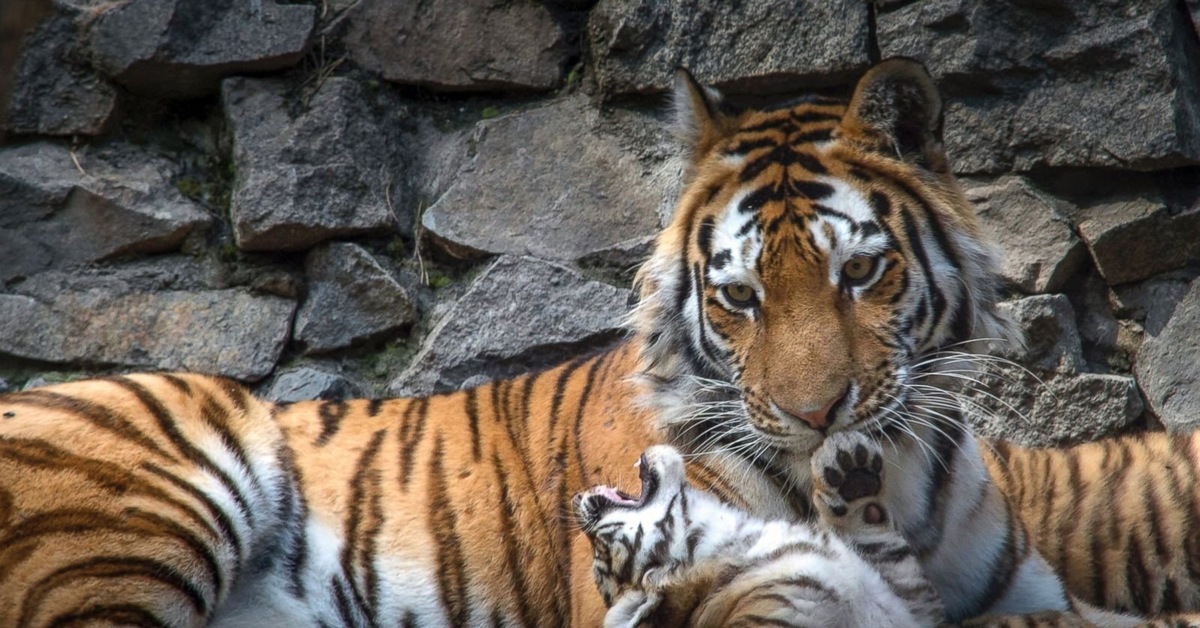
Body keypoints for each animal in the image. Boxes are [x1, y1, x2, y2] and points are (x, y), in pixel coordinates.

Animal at [2, 57, 1200, 624]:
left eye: (861, 273)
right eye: (740, 298)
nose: (818, 415)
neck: (891, 478)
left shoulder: (1024, 595)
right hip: (153, 496)